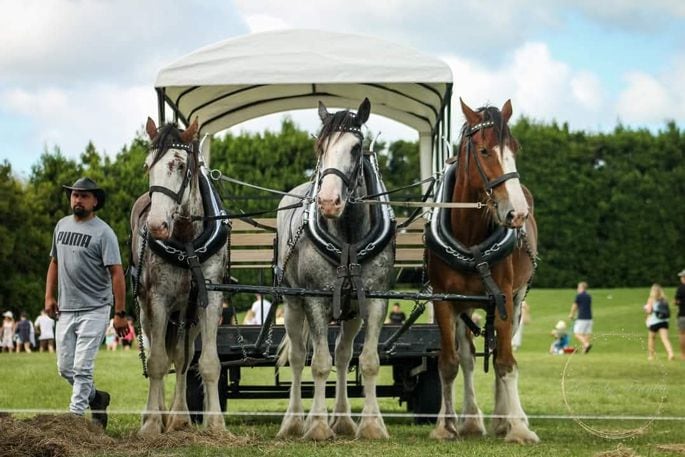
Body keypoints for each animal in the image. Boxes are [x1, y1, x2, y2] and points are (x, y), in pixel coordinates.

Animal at [424, 99, 536, 442]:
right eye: (485, 151)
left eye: (515, 148)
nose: (517, 213)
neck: (470, 236)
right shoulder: (445, 301)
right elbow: (449, 363)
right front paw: (445, 426)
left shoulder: (504, 299)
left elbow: (506, 363)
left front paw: (517, 428)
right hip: (467, 306)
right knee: (469, 357)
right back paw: (472, 419)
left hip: (516, 299)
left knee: (502, 352)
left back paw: (506, 418)